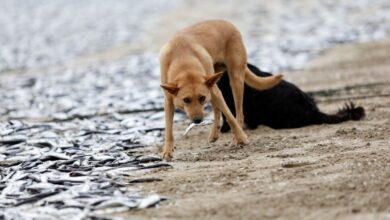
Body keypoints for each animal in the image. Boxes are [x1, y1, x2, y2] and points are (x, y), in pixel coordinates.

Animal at [160, 19, 282, 161]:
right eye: (186, 100)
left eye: (201, 98)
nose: (197, 120)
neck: (183, 60)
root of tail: (227, 22)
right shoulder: (168, 101)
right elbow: (169, 129)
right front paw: (167, 151)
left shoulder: (214, 92)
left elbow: (230, 117)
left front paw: (242, 137)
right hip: (214, 81)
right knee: (217, 109)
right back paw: (214, 133)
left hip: (234, 80)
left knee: (238, 113)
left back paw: (236, 136)